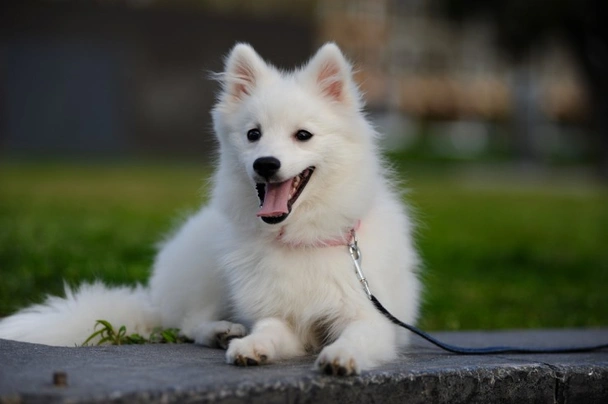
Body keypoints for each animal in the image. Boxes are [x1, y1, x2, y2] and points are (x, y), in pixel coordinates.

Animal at [0, 42, 420, 374]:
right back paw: (222, 332)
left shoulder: (371, 317)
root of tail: (155, 299)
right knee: (189, 323)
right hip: (207, 270)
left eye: (304, 135)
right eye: (253, 134)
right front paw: (252, 345)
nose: (265, 163)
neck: (300, 237)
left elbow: (357, 336)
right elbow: (268, 329)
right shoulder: (278, 315)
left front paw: (340, 356)